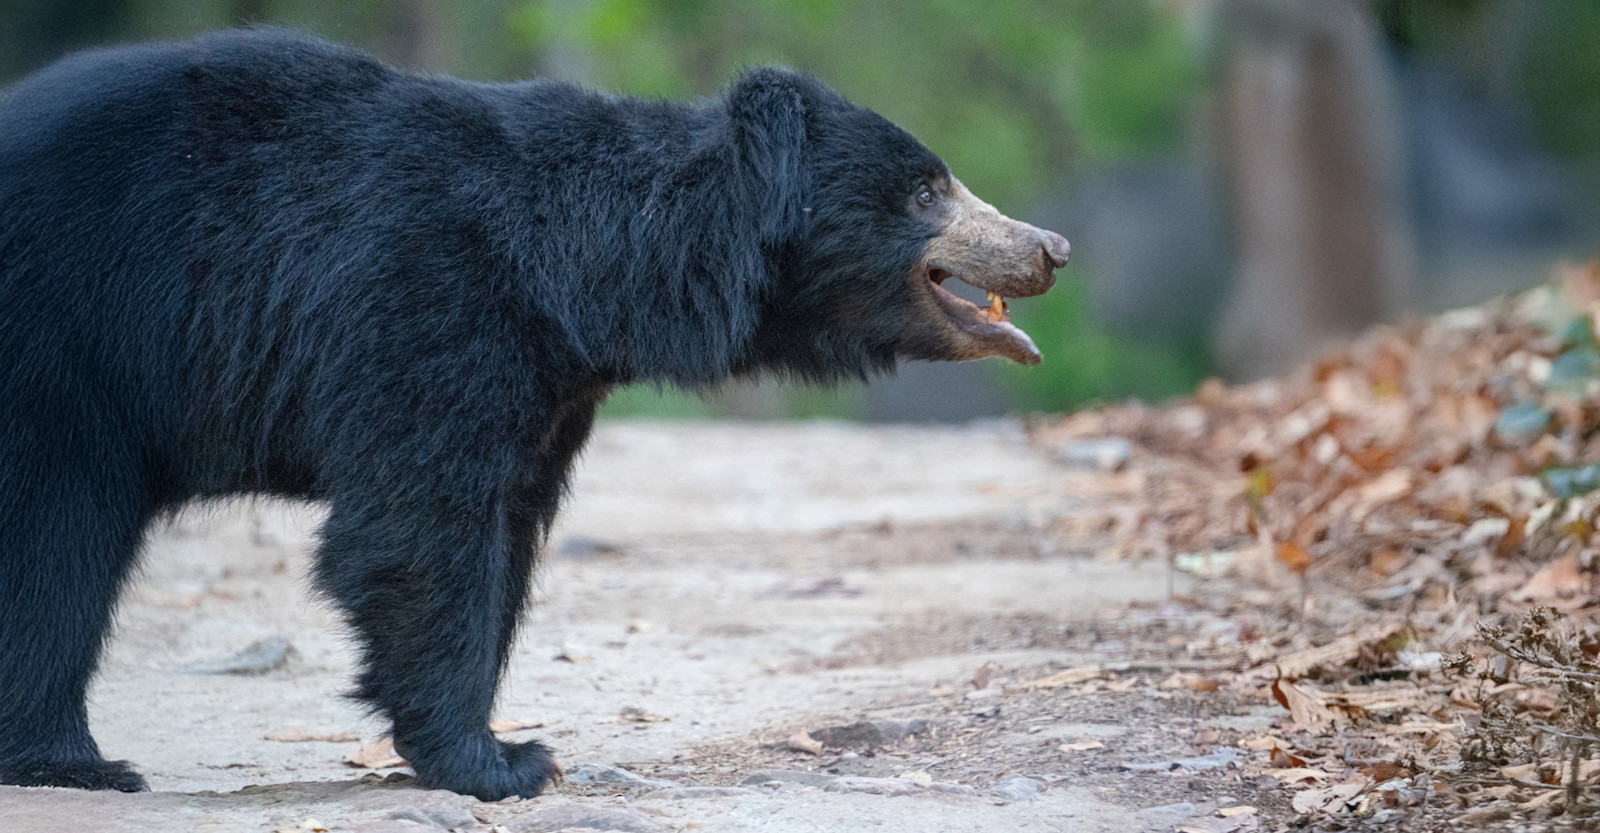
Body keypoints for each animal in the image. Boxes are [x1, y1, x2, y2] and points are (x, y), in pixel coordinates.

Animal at [0, 27, 1068, 801]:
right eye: (927, 188)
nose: (1050, 247)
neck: (590, 272)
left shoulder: (548, 388)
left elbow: (503, 530)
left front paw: (491, 745)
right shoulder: (432, 308)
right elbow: (418, 528)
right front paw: (502, 761)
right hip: (66, 343)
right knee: (57, 546)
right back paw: (73, 758)